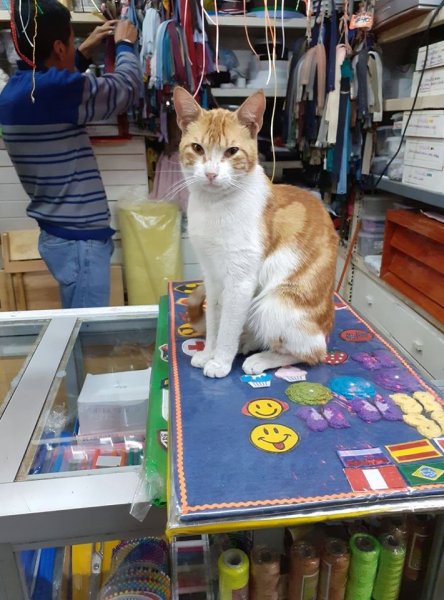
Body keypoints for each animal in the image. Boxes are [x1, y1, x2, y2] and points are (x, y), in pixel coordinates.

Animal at [173, 86, 336, 378]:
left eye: (232, 151)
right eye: (197, 148)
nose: (211, 173)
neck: (214, 207)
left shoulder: (240, 282)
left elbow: (227, 327)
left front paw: (220, 361)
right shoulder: (212, 277)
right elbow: (214, 321)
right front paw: (208, 352)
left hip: (274, 304)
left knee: (310, 353)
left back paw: (260, 358)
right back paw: (247, 342)